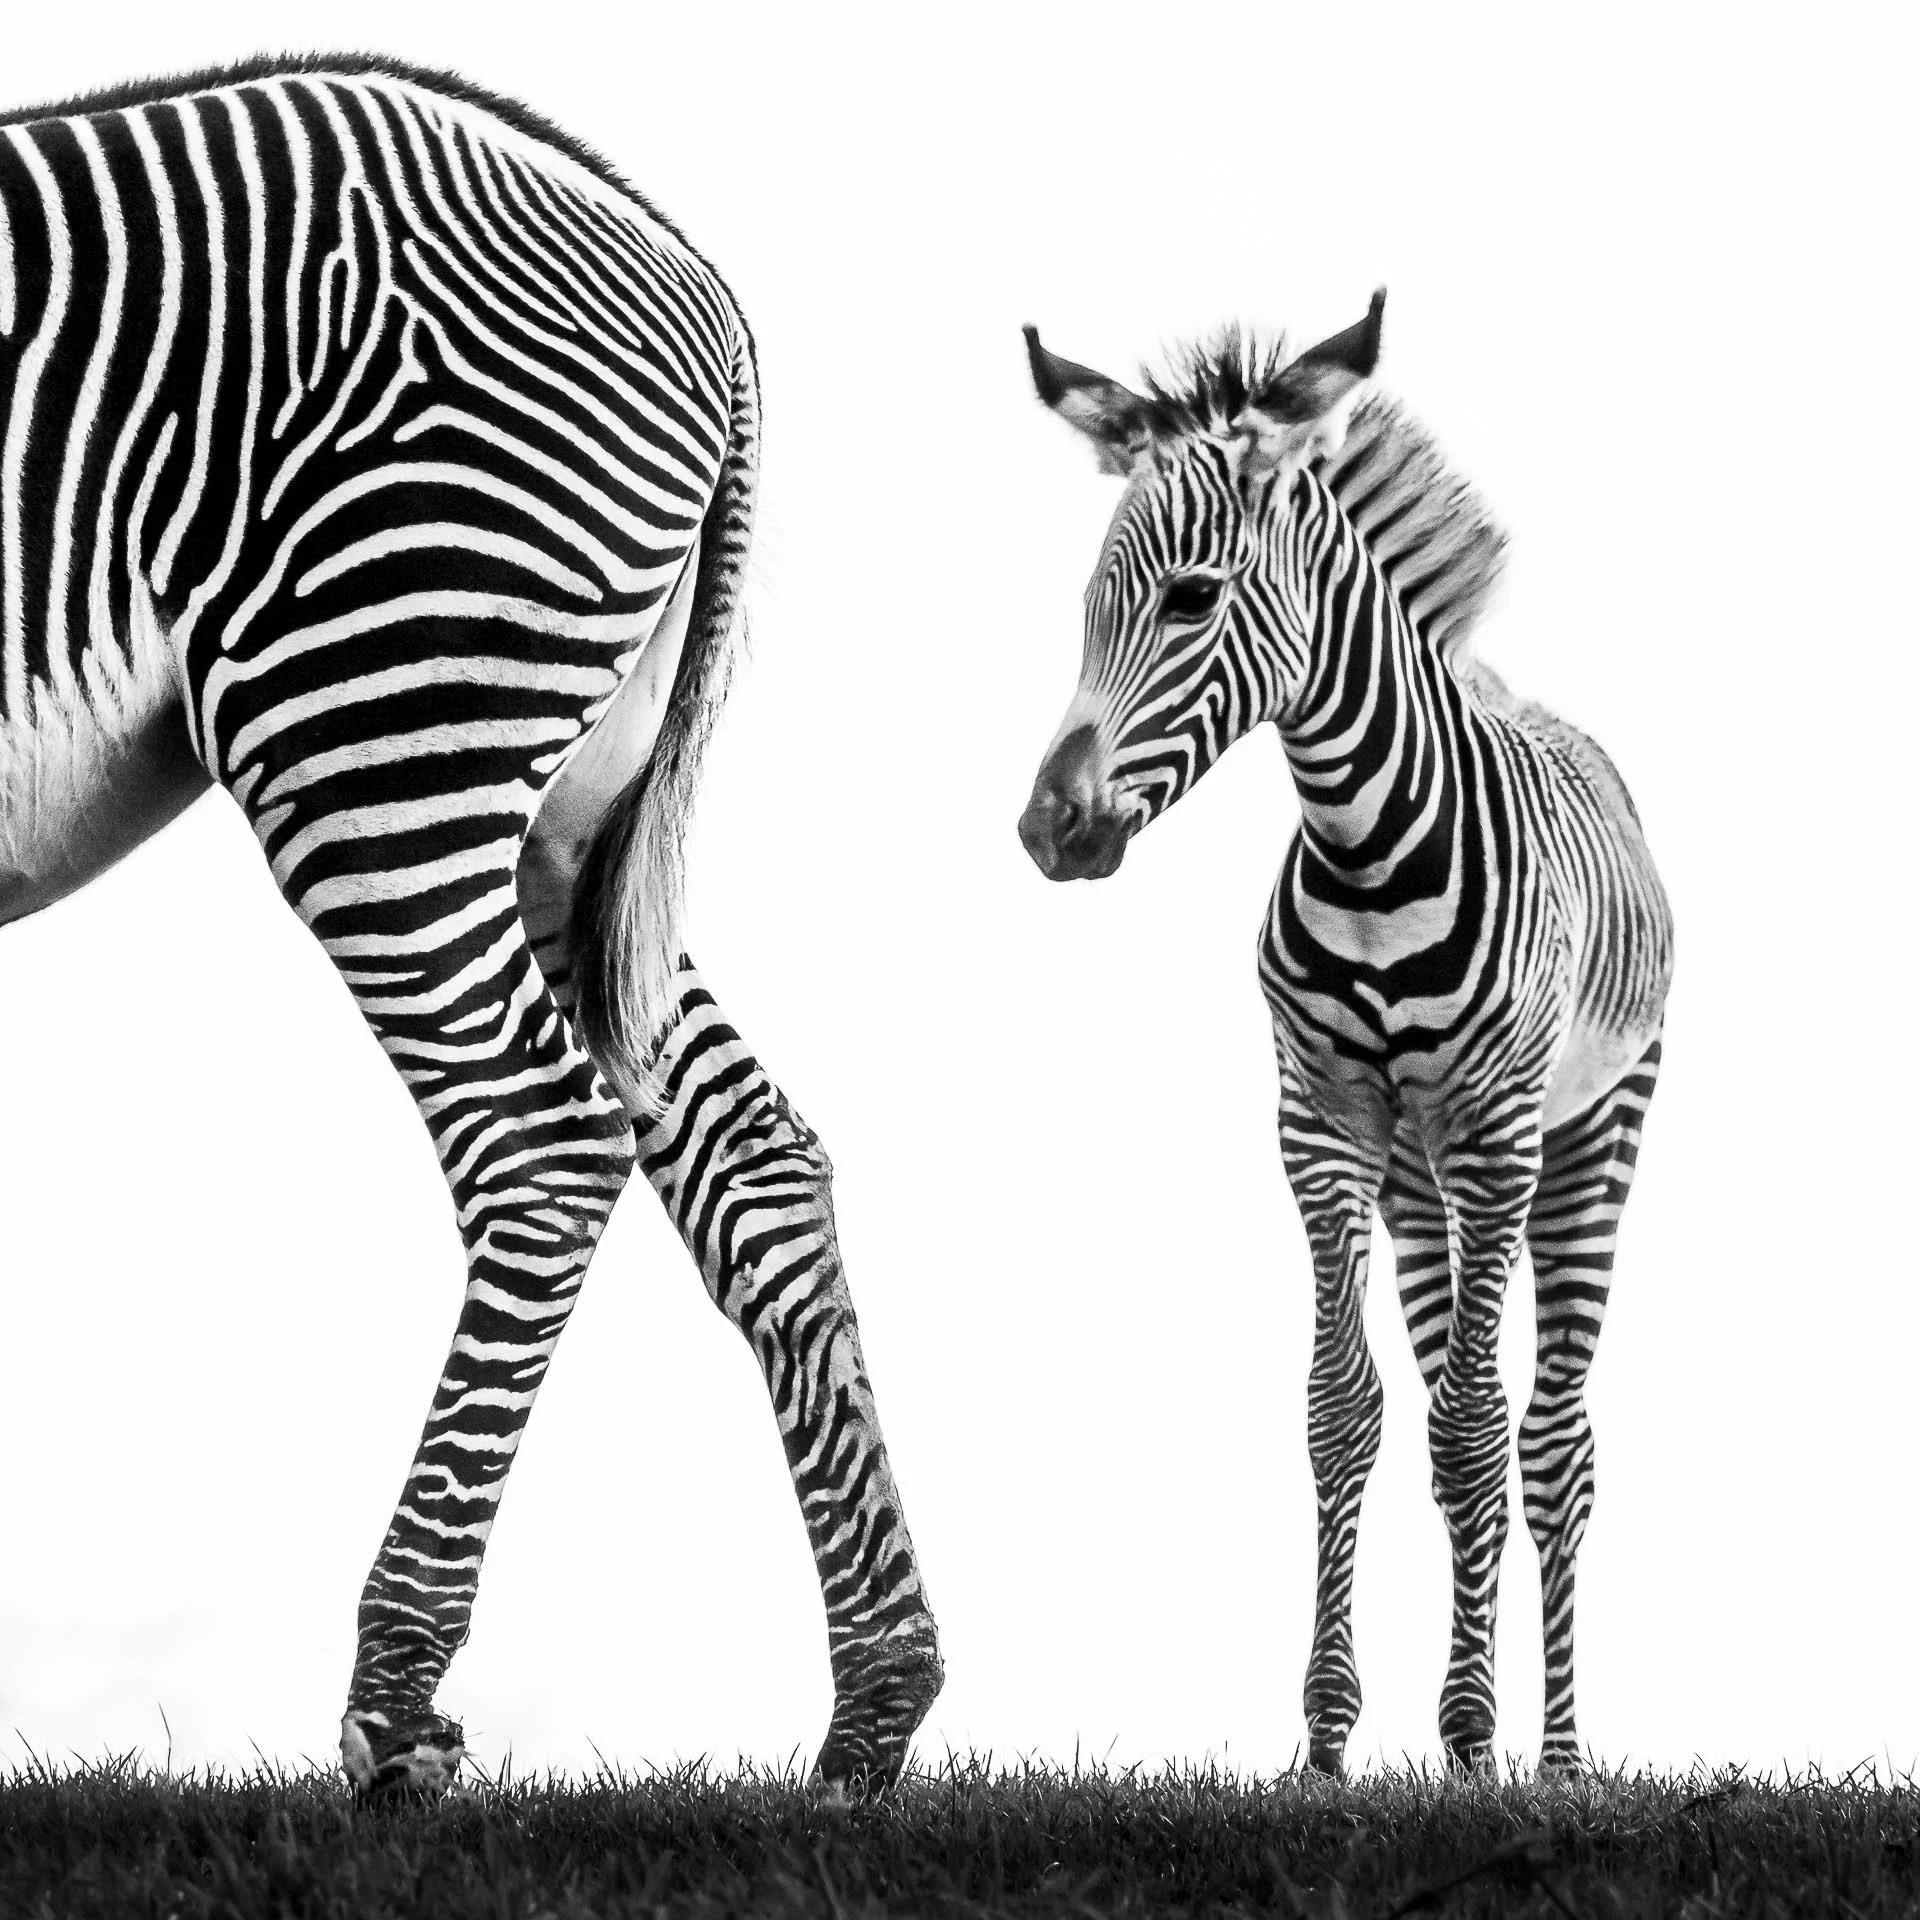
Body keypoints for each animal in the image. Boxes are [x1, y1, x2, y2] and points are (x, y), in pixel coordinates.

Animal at [0, 55, 942, 1796]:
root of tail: (683, 261)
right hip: (575, 800)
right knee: (749, 1149)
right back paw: (874, 1703)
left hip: (380, 704)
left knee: (541, 1135)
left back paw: (395, 1693)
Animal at [1017, 293, 1672, 1776]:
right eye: (1088, 606)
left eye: (1190, 597)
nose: (1046, 829)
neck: (1369, 852)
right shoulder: (1320, 1125)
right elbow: (1346, 1411)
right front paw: (1326, 1741)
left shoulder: (1495, 1134)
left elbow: (1482, 1428)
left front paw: (1475, 1740)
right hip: (1416, 1180)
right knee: (1448, 1412)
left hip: (1587, 1138)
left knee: (1552, 1437)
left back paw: (1552, 1756)